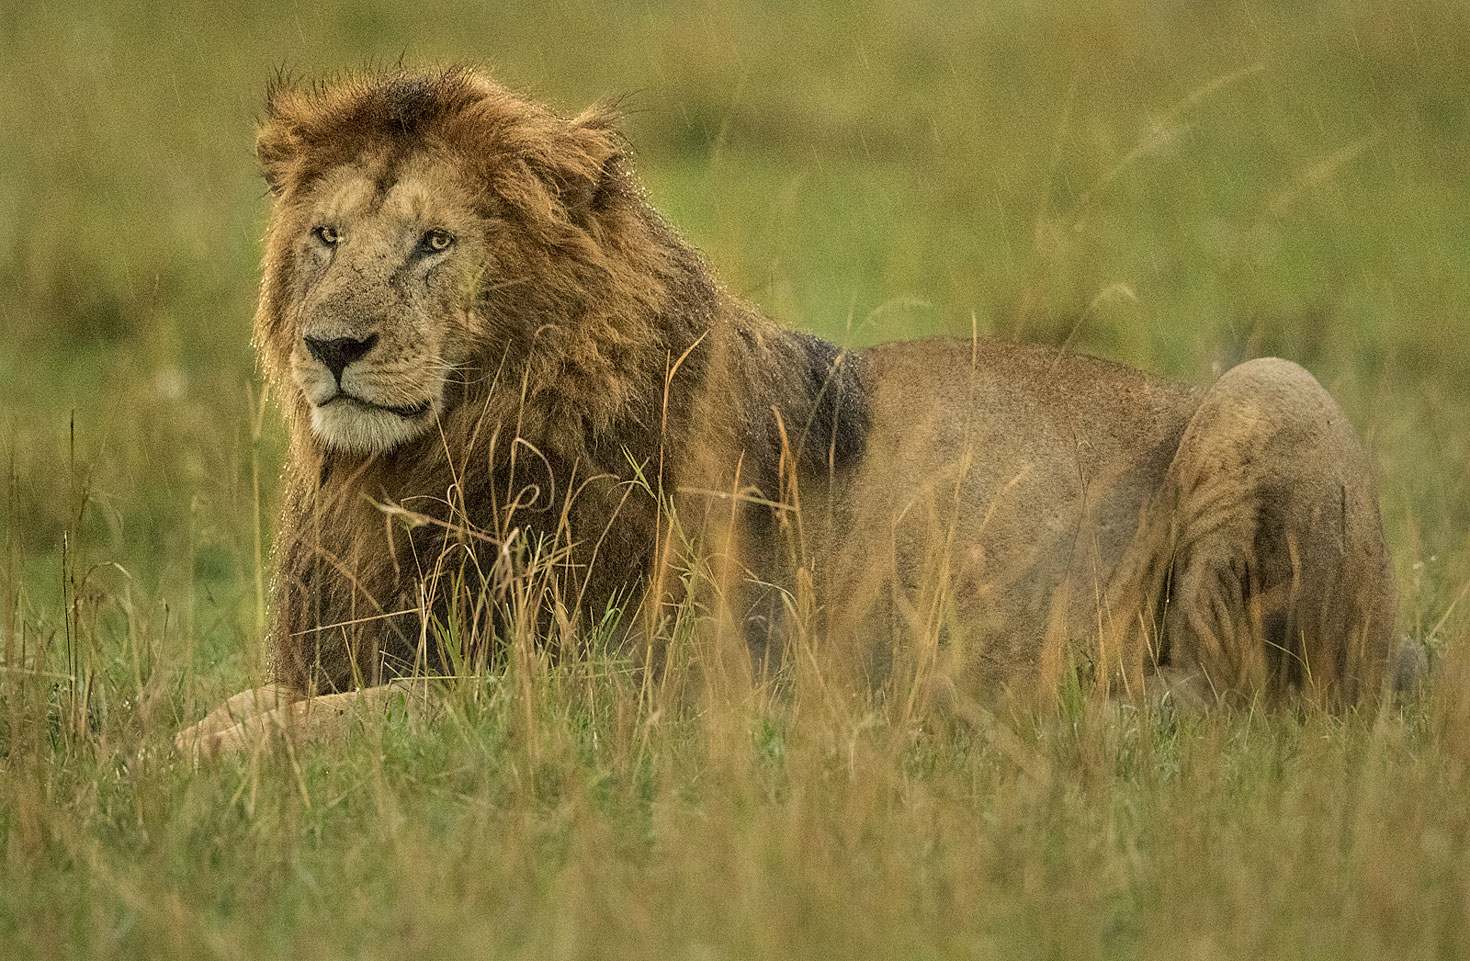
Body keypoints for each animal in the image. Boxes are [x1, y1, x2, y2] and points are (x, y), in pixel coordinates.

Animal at [171, 67, 1387, 758]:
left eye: (434, 242)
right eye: (328, 237)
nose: (332, 347)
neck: (420, 471)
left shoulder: (651, 682)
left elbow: (398, 712)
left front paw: (185, 760)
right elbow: (263, 698)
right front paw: (172, 737)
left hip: (1274, 388)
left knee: (1259, 698)